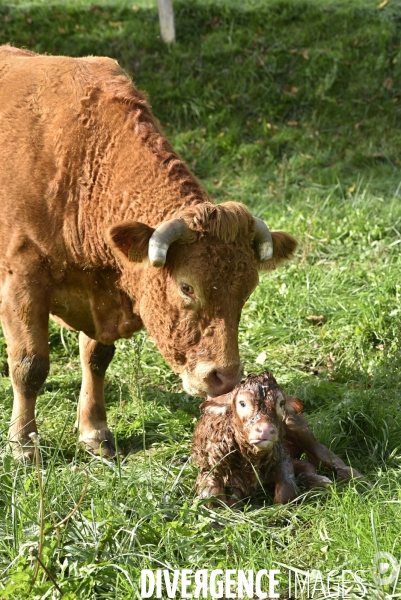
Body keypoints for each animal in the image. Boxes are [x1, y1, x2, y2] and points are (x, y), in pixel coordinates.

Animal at [0, 45, 296, 460]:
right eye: (187, 287)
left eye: (248, 290)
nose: (224, 377)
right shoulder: (22, 279)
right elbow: (30, 366)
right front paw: (23, 444)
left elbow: (96, 358)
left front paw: (94, 431)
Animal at [191, 370, 360, 506]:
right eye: (242, 403)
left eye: (281, 403)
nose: (265, 430)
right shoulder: (208, 468)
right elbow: (212, 498)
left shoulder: (282, 458)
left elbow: (285, 493)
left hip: (297, 425)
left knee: (321, 453)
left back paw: (355, 478)